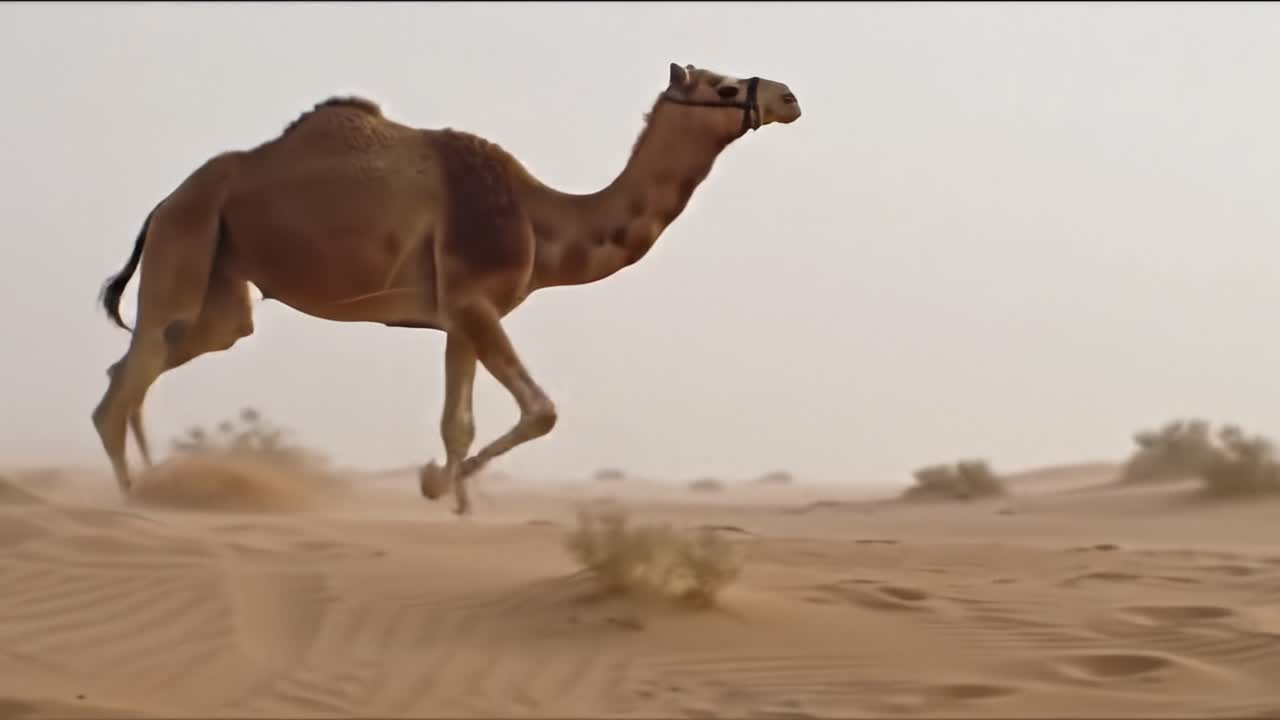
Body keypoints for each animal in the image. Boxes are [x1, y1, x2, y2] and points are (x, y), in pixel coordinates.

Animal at [93, 62, 802, 515]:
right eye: (725, 86)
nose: (789, 97)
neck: (539, 217)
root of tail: (162, 205)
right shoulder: (475, 301)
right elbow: (540, 411)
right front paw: (440, 489)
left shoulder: (457, 317)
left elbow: (456, 423)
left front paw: (450, 497)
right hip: (188, 238)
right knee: (132, 372)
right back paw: (133, 500)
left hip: (222, 284)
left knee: (143, 363)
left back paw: (153, 483)